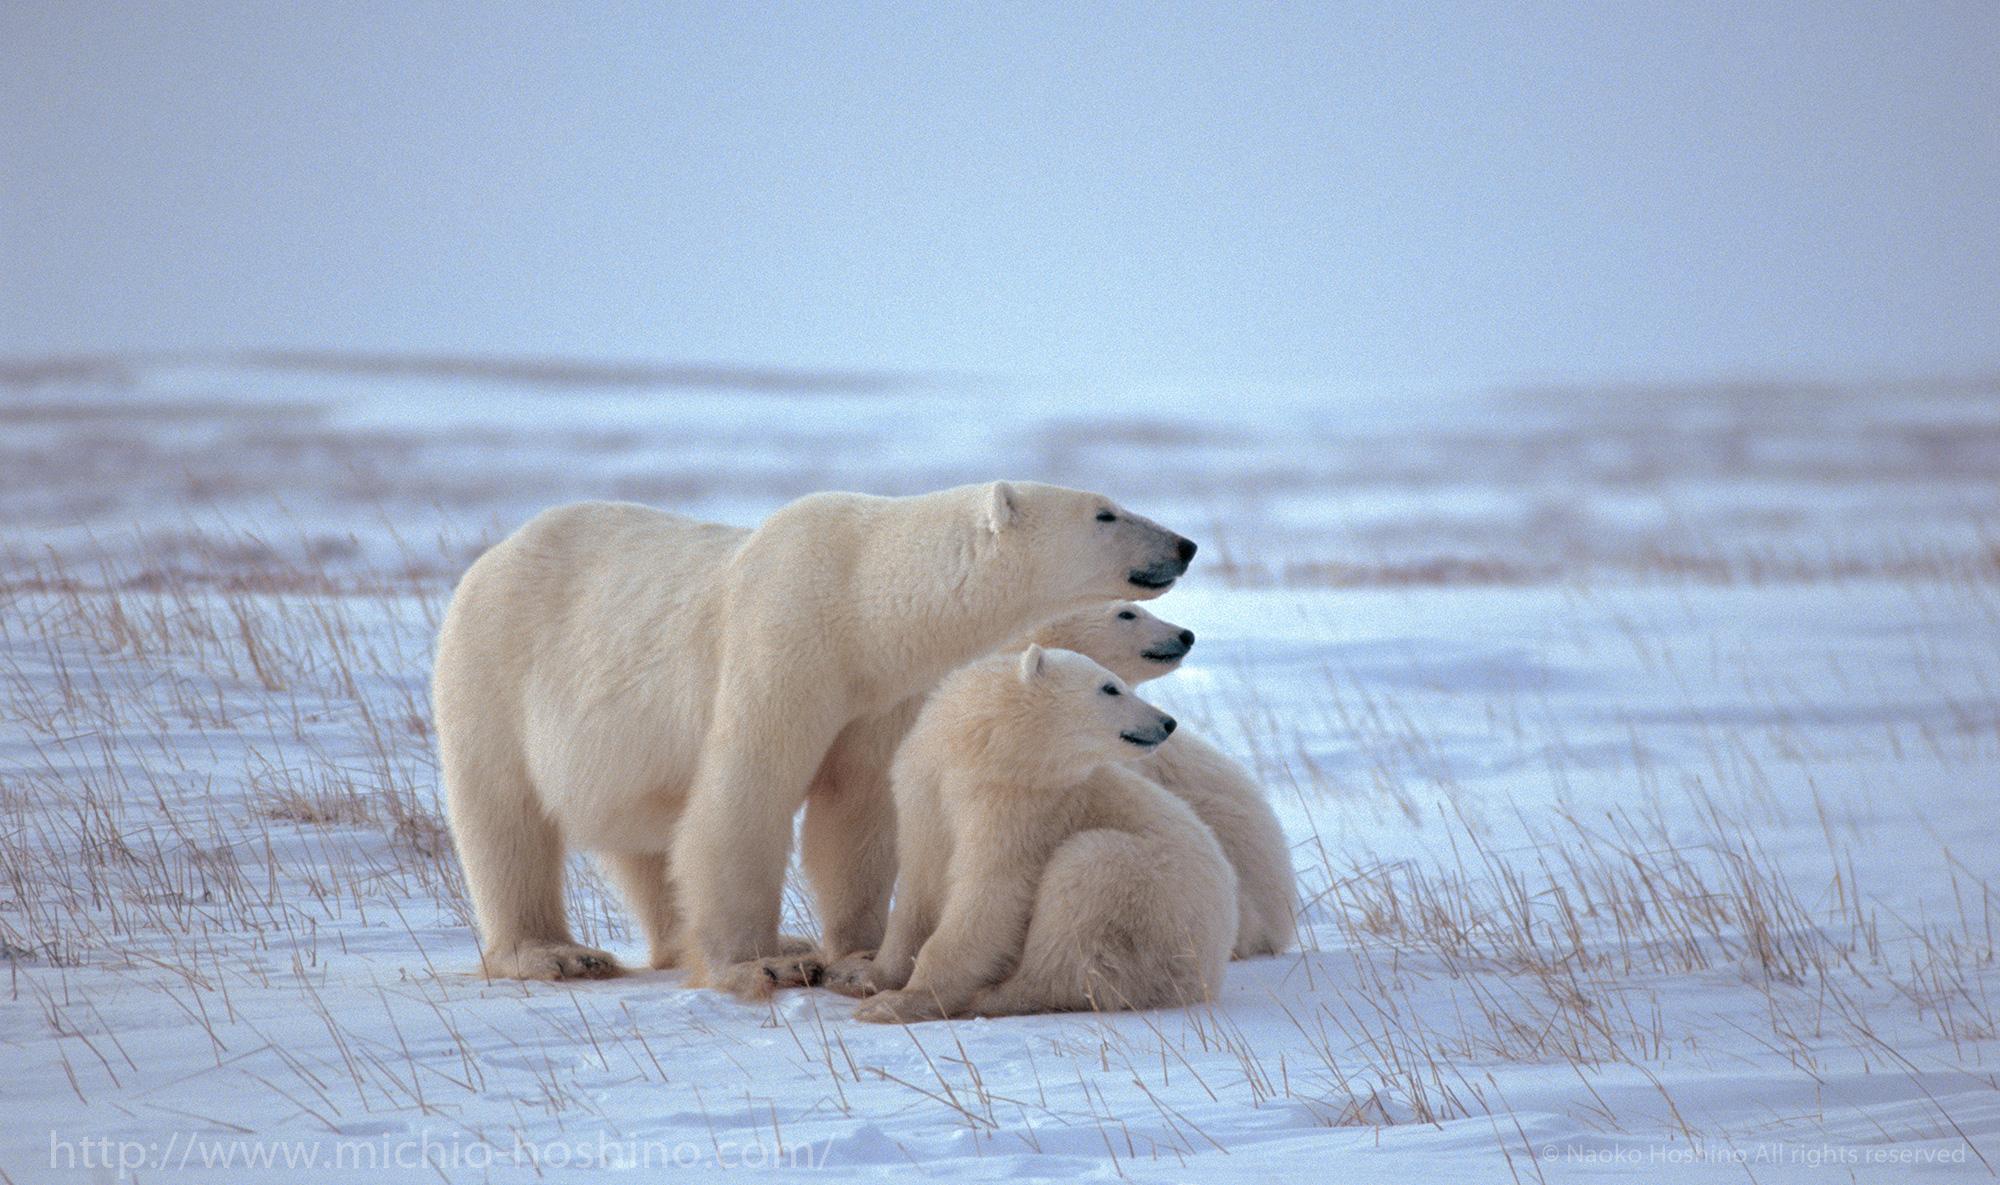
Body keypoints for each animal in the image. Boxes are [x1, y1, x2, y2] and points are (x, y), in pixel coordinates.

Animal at [432, 476, 1192, 996]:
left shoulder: (878, 695)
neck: (861, 598)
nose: (1183, 544)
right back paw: (554, 952)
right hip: (491, 670)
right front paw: (762, 962)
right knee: (503, 818)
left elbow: (855, 812)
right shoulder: (784, 639)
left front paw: (852, 954)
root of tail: (493, 554)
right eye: (1105, 511)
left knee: (645, 839)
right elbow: (744, 795)